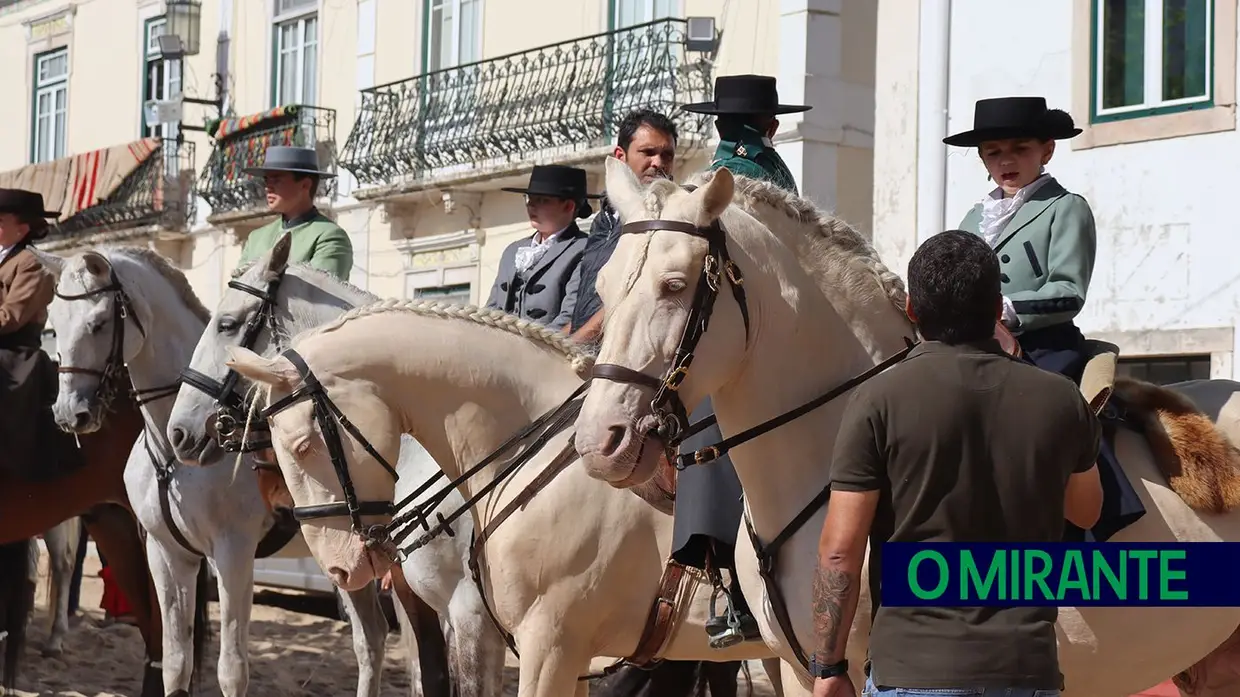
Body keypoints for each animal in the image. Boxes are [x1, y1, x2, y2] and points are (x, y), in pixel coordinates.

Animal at [33, 245, 389, 694]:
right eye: (53, 324)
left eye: (97, 323)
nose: (69, 414)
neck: (171, 456)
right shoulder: (167, 554)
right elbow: (175, 660)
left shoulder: (232, 554)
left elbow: (231, 669)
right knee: (371, 638)